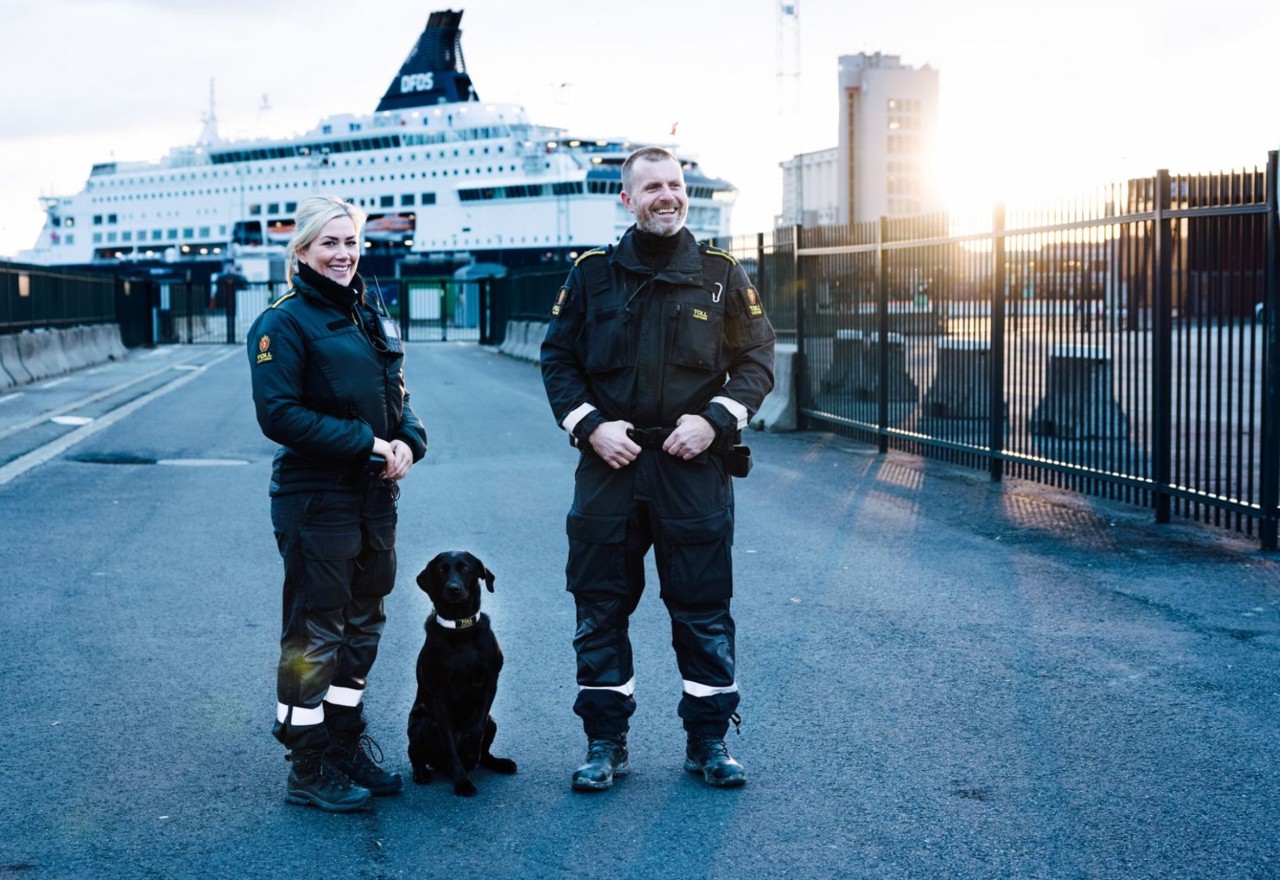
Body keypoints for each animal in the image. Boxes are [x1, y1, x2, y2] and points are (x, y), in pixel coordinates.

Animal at [404, 550, 514, 798]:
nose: (453, 588)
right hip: (421, 724)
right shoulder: (440, 696)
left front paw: (470, 753)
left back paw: (499, 763)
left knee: (485, 754)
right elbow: (450, 746)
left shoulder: (491, 681)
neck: (459, 626)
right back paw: (422, 772)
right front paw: (462, 781)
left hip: (493, 722)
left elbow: (476, 730)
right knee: (416, 755)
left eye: (465, 568)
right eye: (441, 570)